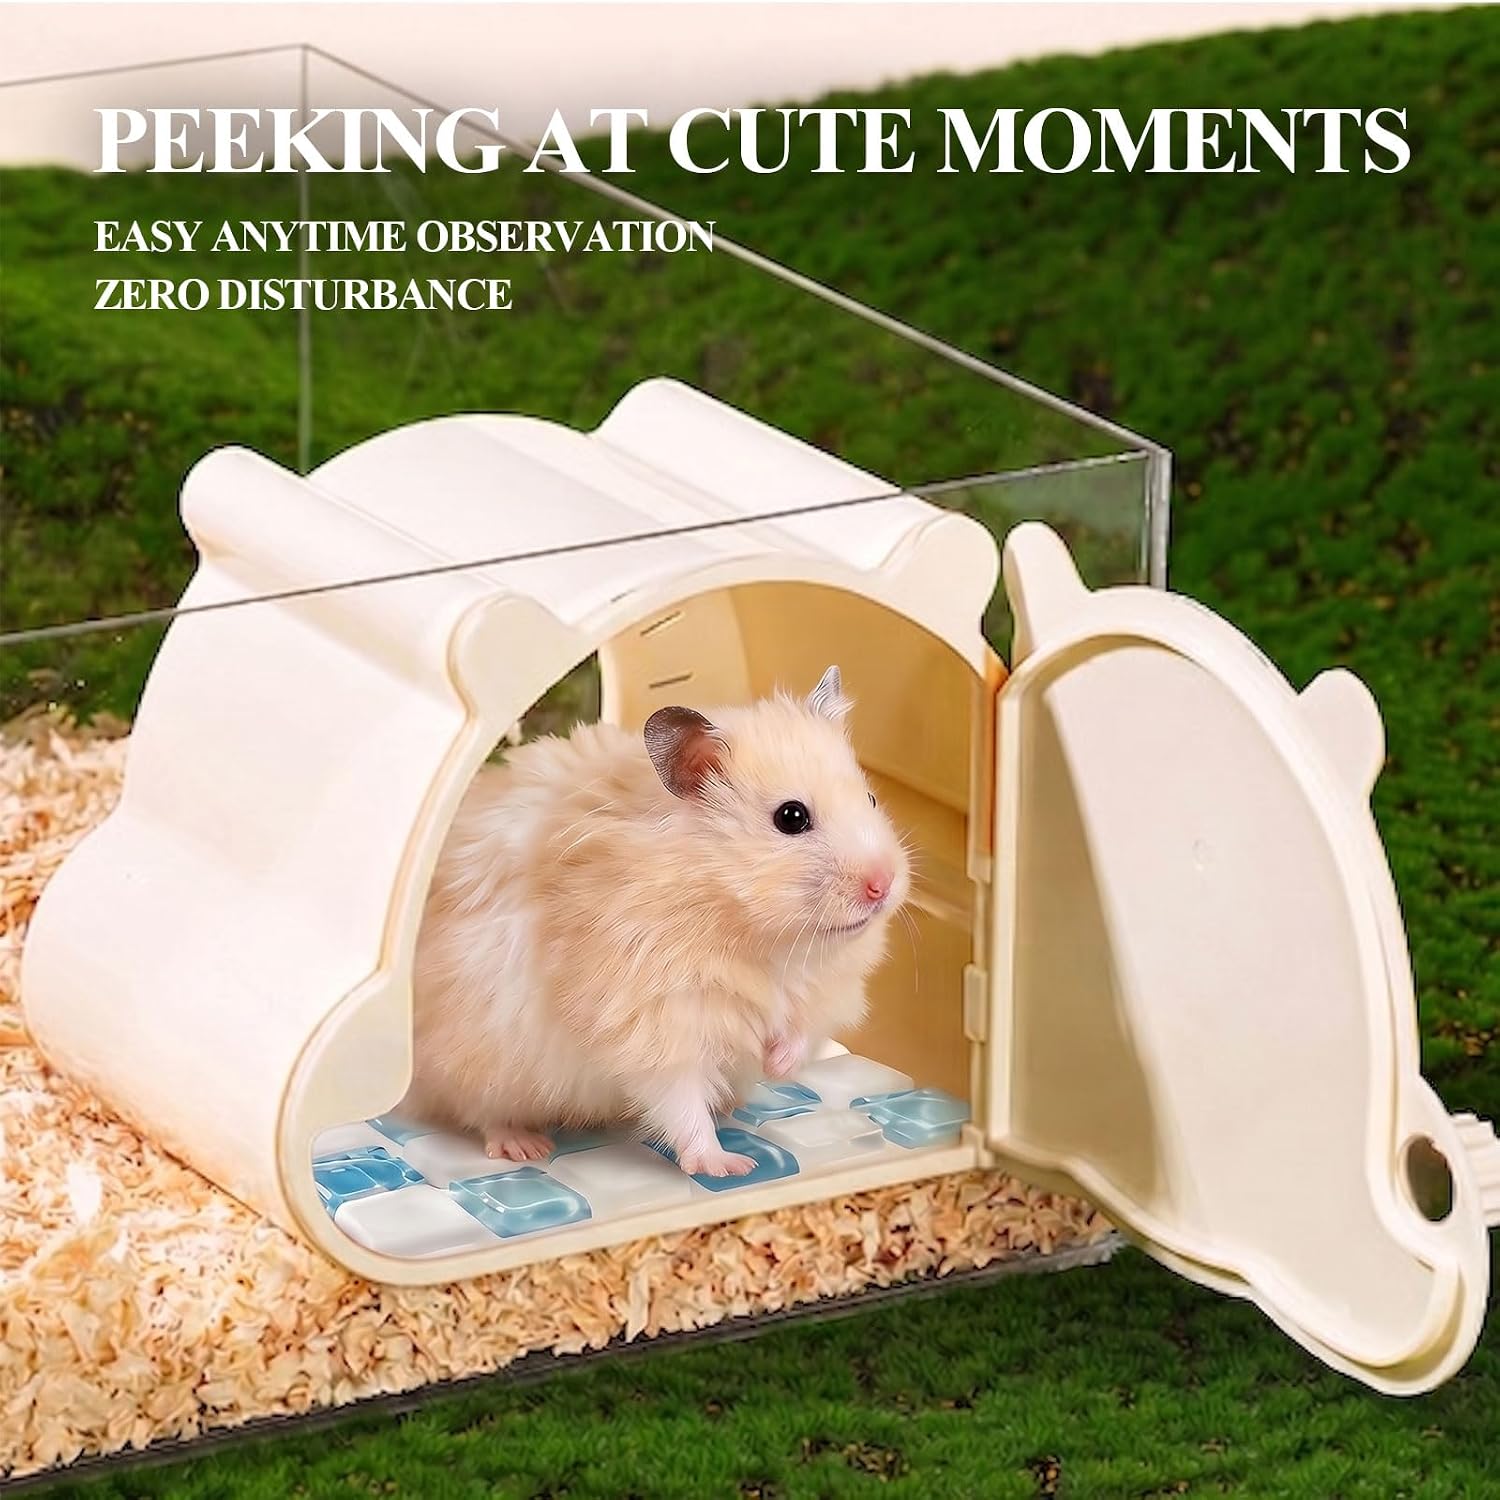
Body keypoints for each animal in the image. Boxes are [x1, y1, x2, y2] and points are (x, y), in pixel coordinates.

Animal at [403, 664, 911, 1177]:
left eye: (870, 799)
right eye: (791, 817)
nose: (883, 885)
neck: (757, 934)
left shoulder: (827, 992)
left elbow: (802, 1034)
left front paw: (773, 1065)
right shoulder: (657, 1024)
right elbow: (680, 1100)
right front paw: (729, 1166)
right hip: (477, 1061)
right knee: (479, 1113)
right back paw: (525, 1146)